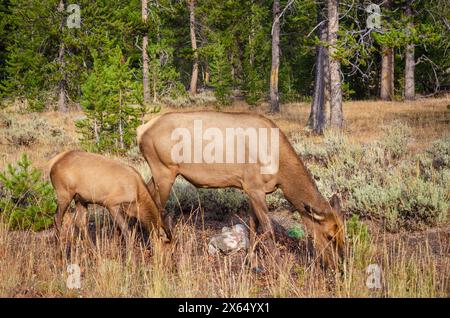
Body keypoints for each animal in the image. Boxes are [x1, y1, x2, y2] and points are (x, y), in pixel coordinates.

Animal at [137, 112, 344, 266]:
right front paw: (278, 266)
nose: (337, 265)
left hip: (159, 173)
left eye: (343, 234)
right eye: (329, 236)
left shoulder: (253, 189)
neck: (280, 171)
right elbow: (268, 228)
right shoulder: (255, 187)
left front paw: (251, 261)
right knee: (156, 209)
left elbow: (253, 225)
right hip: (164, 170)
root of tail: (141, 130)